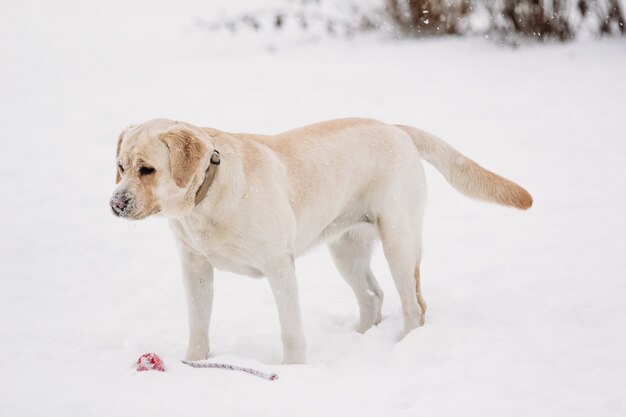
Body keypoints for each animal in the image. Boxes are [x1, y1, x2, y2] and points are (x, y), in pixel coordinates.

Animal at [109, 118, 528, 364]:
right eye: (121, 167)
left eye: (147, 170)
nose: (115, 203)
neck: (206, 198)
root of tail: (396, 127)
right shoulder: (195, 268)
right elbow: (198, 325)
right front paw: (193, 365)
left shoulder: (279, 267)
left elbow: (290, 330)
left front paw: (292, 372)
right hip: (346, 250)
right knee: (372, 296)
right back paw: (358, 338)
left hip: (399, 241)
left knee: (414, 305)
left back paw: (403, 349)